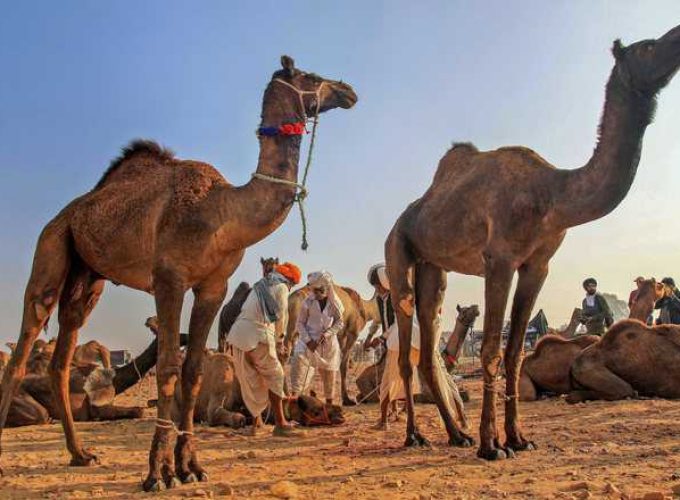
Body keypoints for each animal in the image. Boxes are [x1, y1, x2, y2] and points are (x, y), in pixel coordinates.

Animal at [0, 56, 358, 490]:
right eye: (311, 76)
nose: (348, 91)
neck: (221, 212)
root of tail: (64, 215)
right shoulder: (168, 280)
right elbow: (169, 366)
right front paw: (158, 472)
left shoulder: (213, 286)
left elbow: (193, 370)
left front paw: (190, 467)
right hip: (52, 245)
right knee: (24, 342)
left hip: (87, 276)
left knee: (63, 347)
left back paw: (80, 454)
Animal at [386, 24, 680, 460]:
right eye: (647, 47)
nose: (676, 37)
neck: (552, 195)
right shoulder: (499, 258)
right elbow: (491, 348)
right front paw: (491, 446)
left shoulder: (537, 264)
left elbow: (514, 352)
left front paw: (517, 439)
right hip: (398, 250)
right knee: (406, 343)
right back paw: (415, 436)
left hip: (433, 267)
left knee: (429, 324)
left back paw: (456, 434)